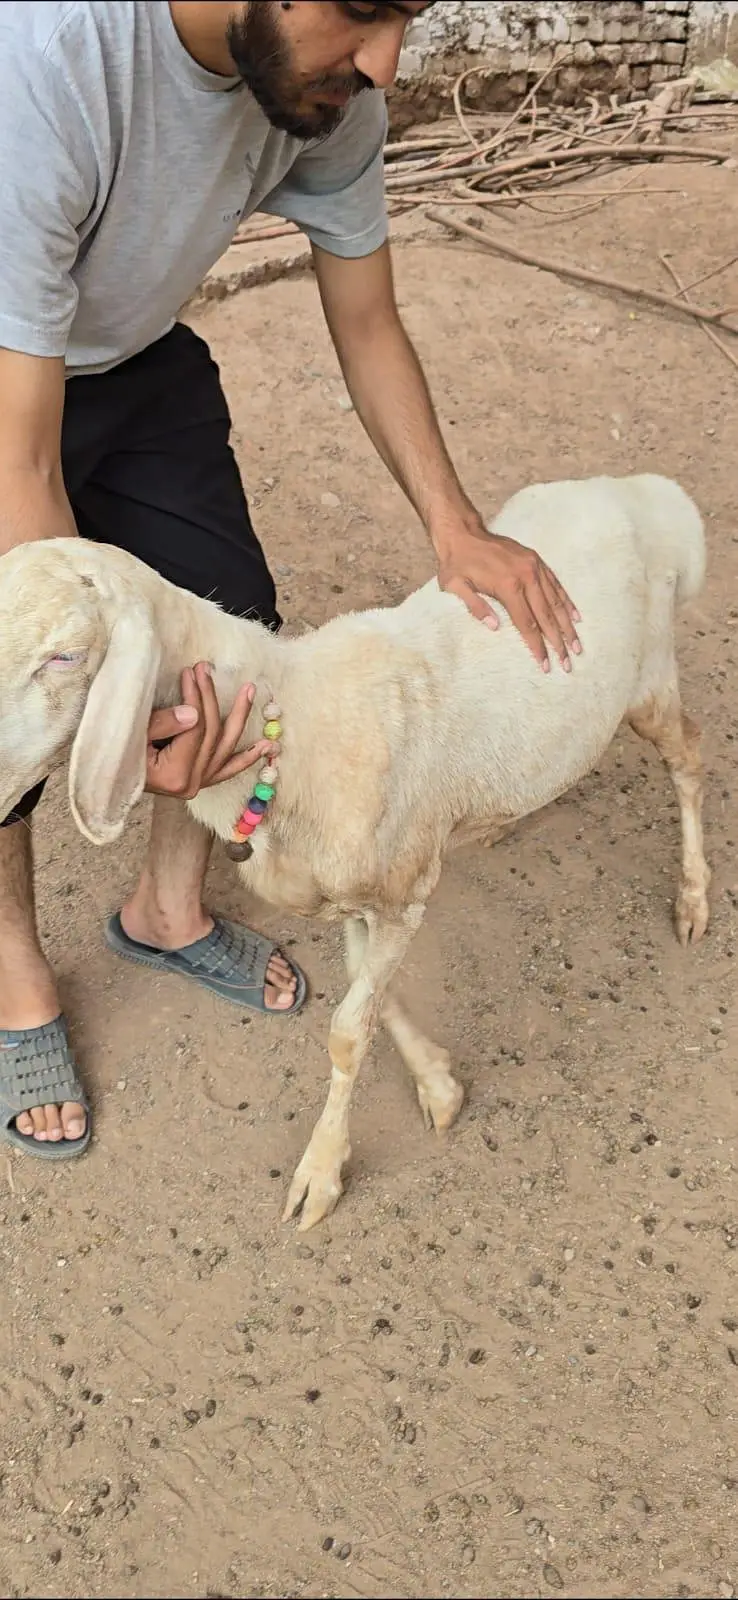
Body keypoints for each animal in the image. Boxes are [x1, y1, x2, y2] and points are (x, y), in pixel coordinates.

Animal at [0, 473, 710, 1229]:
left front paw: (321, 1173)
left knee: (689, 757)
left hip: (651, 681)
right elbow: (369, 993)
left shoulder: (402, 891)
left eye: (64, 656)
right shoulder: (354, 899)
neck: (292, 723)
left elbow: (347, 1028)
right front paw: (438, 1084)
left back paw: (694, 898)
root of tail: (644, 491)